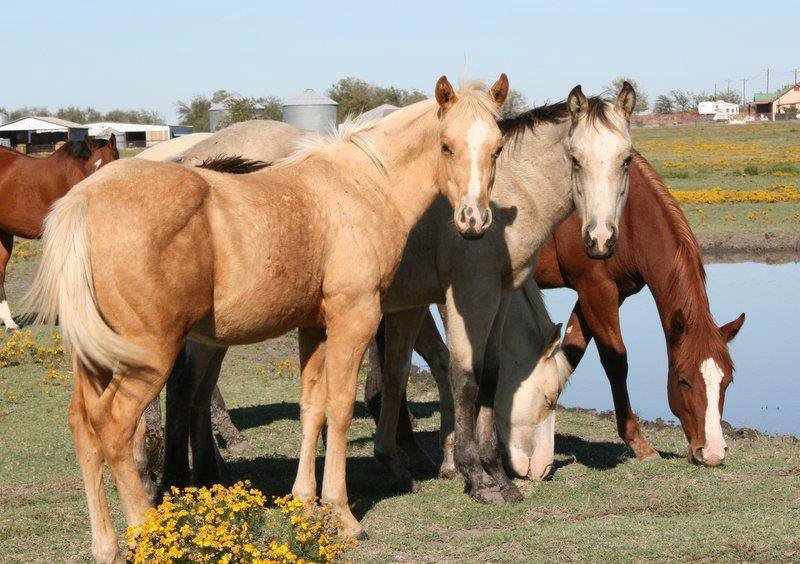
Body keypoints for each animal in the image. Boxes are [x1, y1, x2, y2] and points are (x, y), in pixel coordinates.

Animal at [23, 74, 510, 562]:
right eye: (446, 145)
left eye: (497, 148)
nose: (473, 220)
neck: (360, 185)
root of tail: (84, 198)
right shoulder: (354, 316)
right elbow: (338, 409)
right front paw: (343, 516)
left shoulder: (314, 325)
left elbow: (313, 407)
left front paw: (305, 502)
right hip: (148, 354)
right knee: (116, 428)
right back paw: (148, 532)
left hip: (96, 358)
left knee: (83, 426)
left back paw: (105, 545)